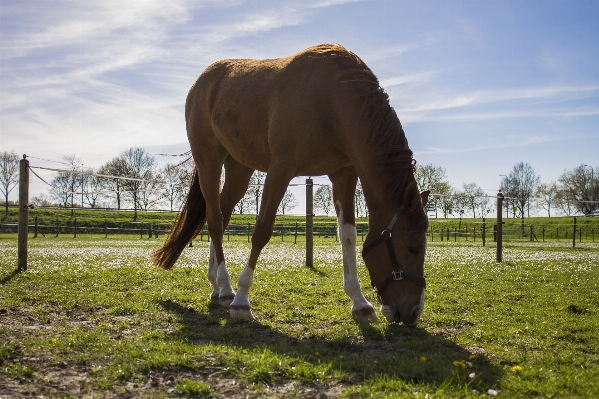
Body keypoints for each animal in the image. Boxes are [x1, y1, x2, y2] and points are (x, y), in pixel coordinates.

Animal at [152, 44, 428, 324]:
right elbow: (262, 230)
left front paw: (360, 303)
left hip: (239, 167)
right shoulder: (280, 170)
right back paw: (228, 289)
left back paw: (217, 286)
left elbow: (348, 235)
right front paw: (242, 299)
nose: (413, 312)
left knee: (221, 213)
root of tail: (202, 82)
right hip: (209, 159)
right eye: (413, 248)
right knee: (216, 219)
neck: (331, 99)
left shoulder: (343, 175)